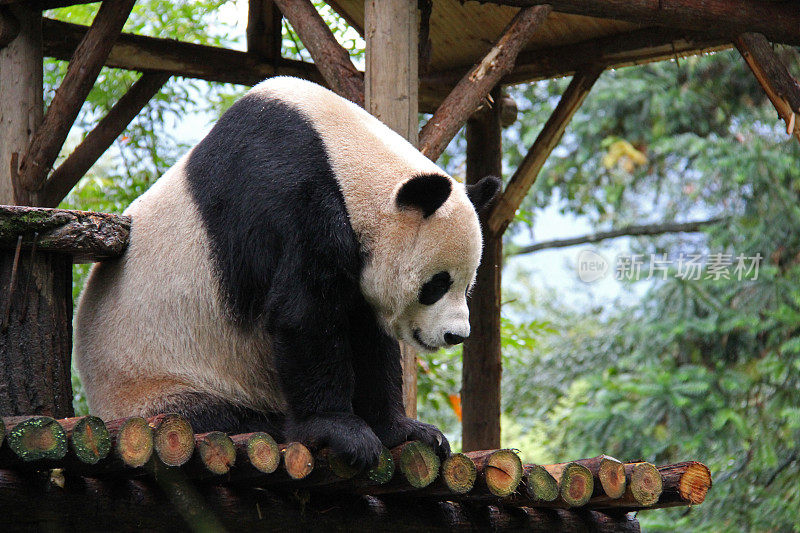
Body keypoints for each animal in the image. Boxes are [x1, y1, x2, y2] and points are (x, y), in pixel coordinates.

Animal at [76, 75, 500, 466]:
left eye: (467, 287)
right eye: (436, 284)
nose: (455, 335)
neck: (343, 155)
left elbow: (366, 333)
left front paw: (408, 430)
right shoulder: (284, 192)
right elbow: (305, 313)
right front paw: (343, 432)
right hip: (167, 382)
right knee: (218, 416)